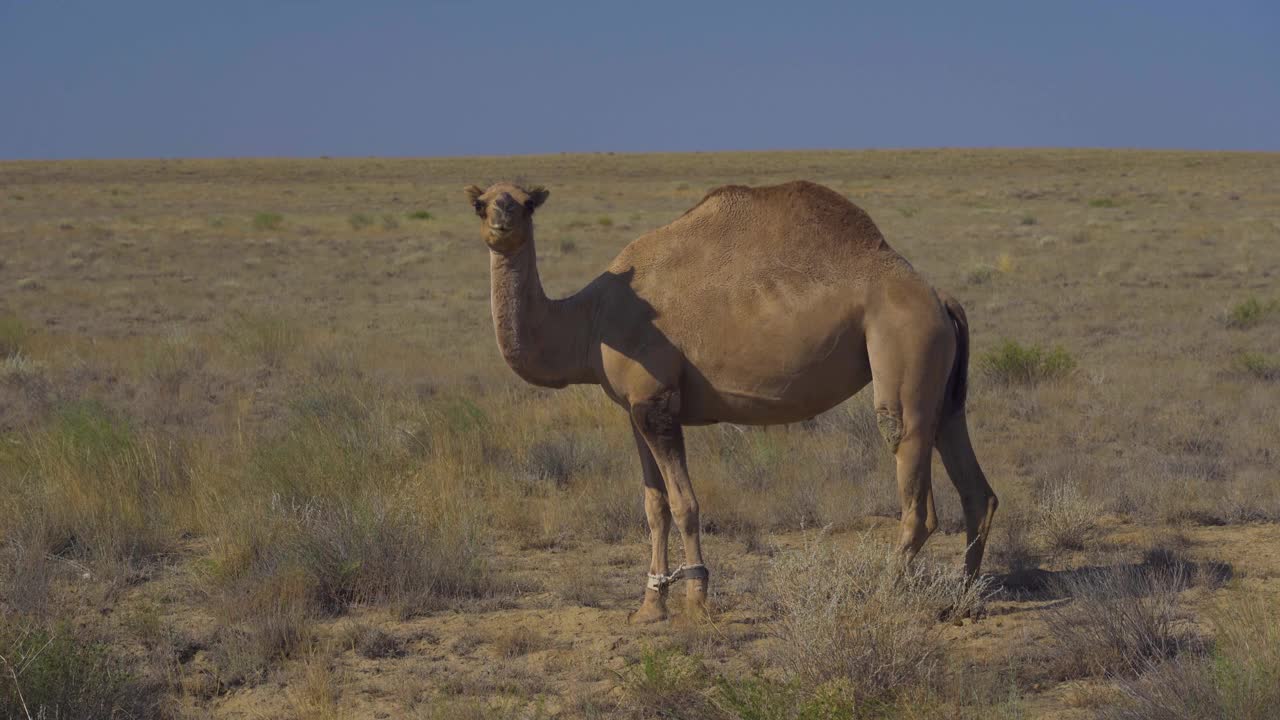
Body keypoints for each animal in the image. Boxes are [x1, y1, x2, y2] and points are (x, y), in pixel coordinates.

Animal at [465, 176, 993, 620]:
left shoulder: (658, 403)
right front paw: (649, 607)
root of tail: (940, 296)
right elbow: (654, 507)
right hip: (942, 386)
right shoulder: (635, 409)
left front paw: (697, 600)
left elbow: (684, 504)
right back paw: (962, 600)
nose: (502, 221)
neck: (589, 321)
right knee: (976, 488)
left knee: (911, 475)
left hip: (904, 343)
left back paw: (882, 594)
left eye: (527, 203)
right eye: (481, 203)